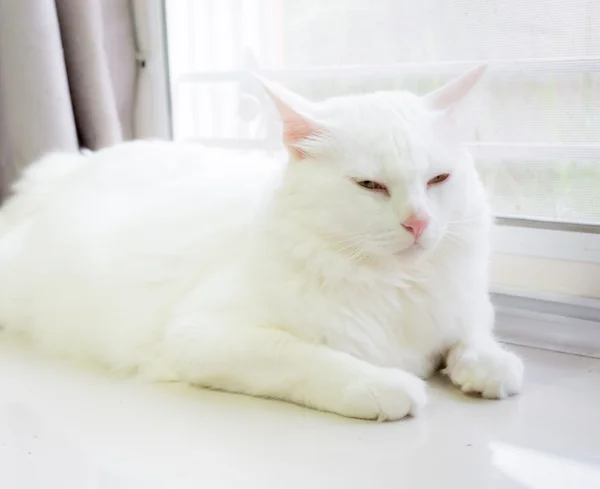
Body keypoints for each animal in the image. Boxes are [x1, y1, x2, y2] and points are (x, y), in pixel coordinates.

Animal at [0, 66, 520, 420]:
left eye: (438, 179)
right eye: (369, 186)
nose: (418, 222)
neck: (395, 287)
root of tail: (67, 167)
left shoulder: (466, 307)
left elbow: (473, 336)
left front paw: (489, 366)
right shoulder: (204, 336)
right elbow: (311, 359)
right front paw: (387, 386)